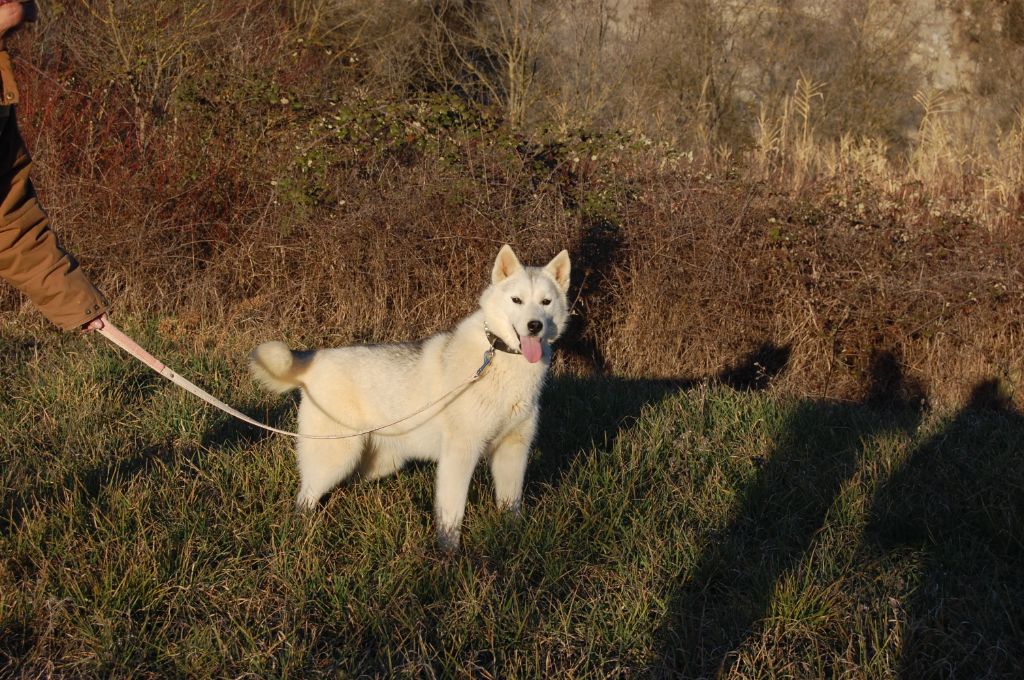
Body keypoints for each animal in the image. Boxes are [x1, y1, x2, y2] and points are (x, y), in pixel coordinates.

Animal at [249, 245, 571, 550]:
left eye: (546, 302)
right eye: (517, 300)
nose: (534, 326)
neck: (501, 359)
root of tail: (314, 358)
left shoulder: (512, 452)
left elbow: (510, 507)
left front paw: (511, 539)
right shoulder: (460, 453)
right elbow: (451, 514)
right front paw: (448, 555)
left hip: (378, 462)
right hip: (335, 457)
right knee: (305, 497)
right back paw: (301, 531)